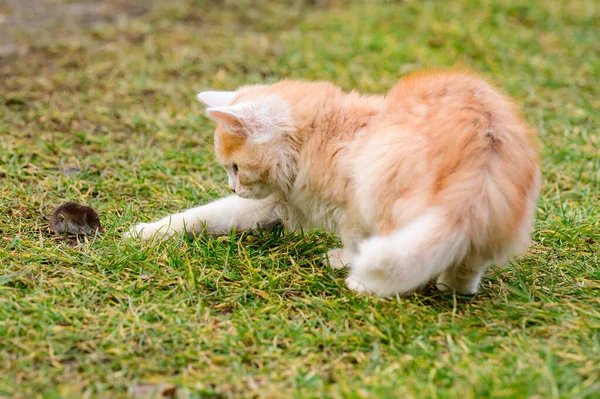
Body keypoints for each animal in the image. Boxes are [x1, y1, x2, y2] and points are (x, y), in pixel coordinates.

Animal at [129, 71, 540, 296]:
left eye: (234, 168)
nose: (233, 188)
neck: (319, 134)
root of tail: (480, 168)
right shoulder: (280, 201)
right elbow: (207, 214)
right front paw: (148, 232)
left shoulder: (350, 203)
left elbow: (354, 237)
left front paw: (344, 260)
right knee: (467, 261)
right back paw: (454, 286)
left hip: (381, 182)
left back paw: (362, 281)